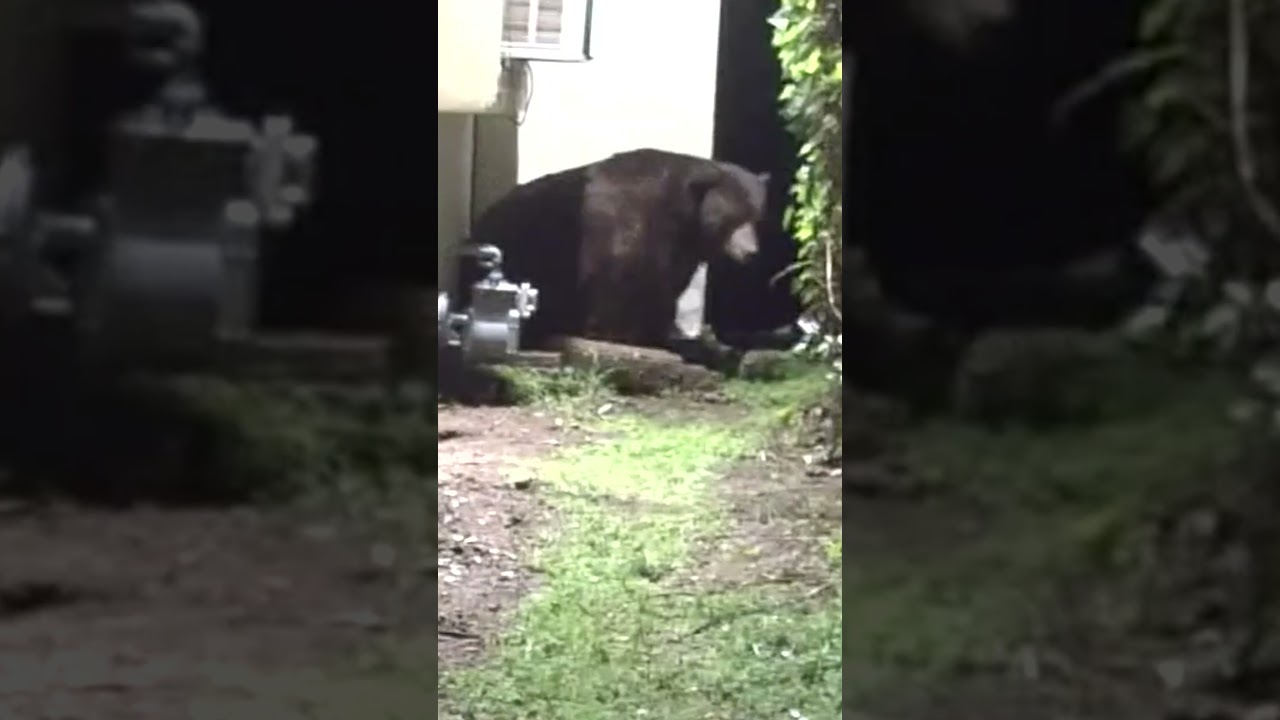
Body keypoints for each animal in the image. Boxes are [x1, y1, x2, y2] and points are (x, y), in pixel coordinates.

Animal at [467, 148, 770, 351]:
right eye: (733, 218)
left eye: (756, 216)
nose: (752, 252)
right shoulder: (631, 224)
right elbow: (620, 278)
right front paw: (618, 332)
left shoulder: (680, 247)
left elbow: (666, 284)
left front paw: (664, 331)